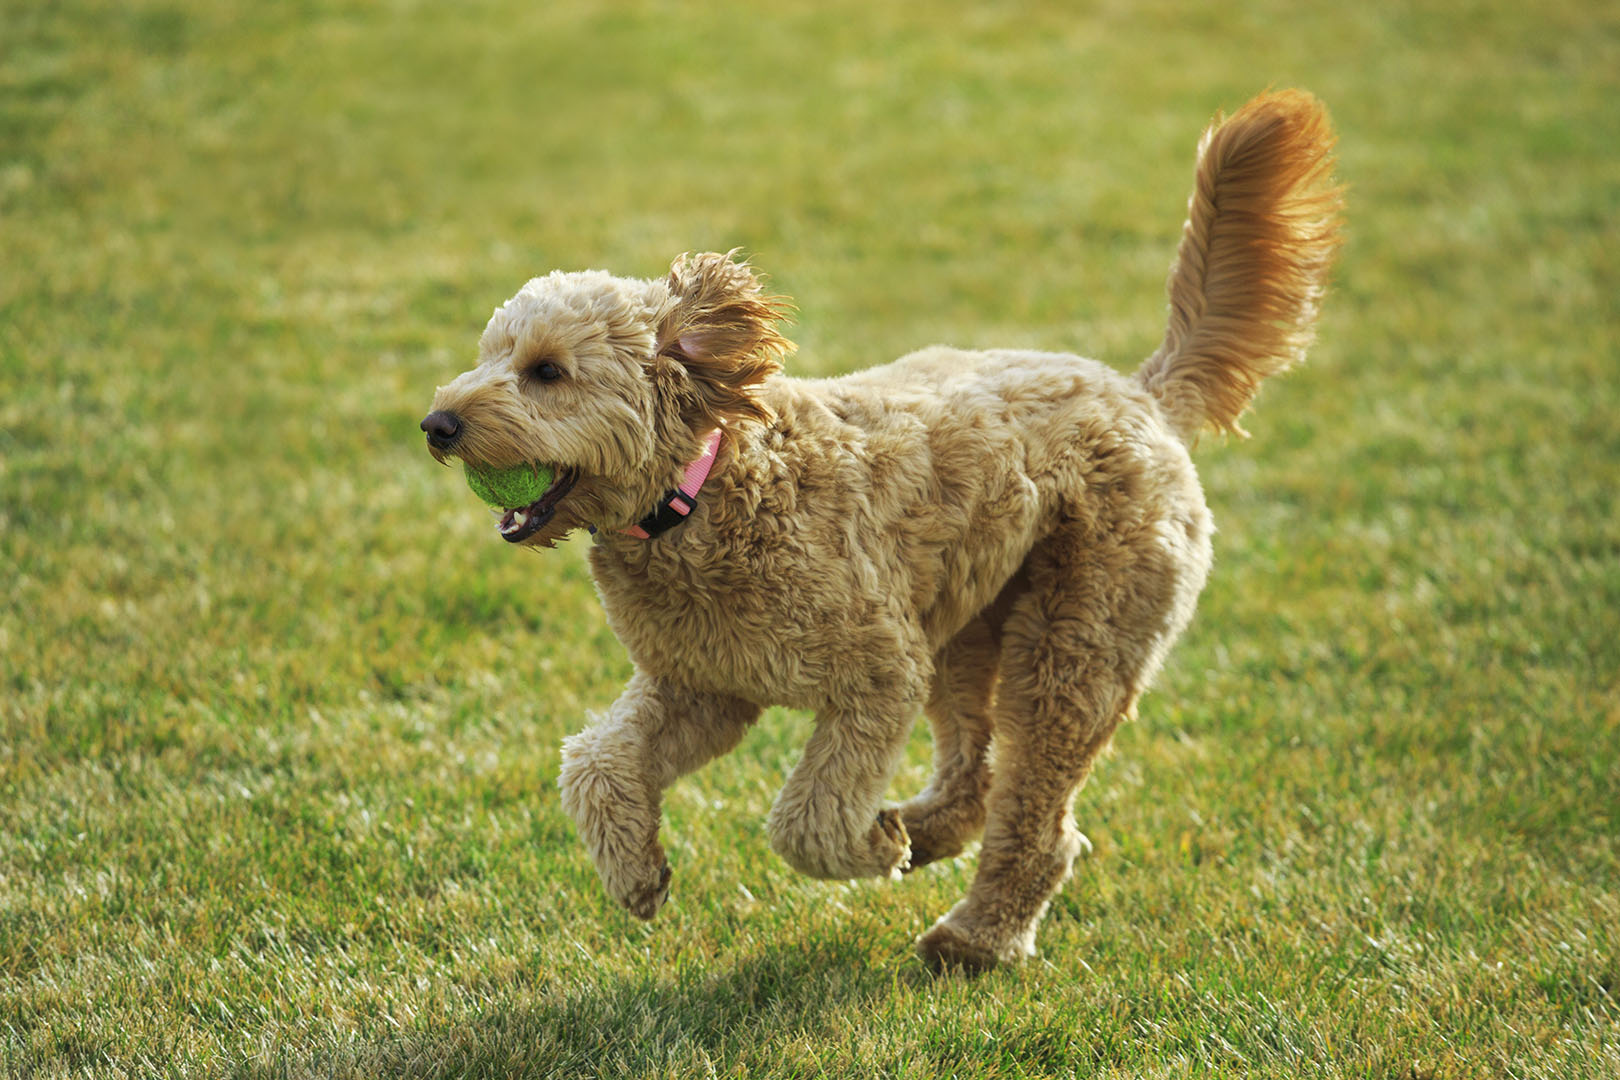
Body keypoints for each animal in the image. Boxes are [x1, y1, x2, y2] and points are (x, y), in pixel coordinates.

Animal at [417, 93, 1341, 971]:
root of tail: (1143, 394)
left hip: (1075, 644)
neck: (705, 490)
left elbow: (807, 819)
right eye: (489, 354)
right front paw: (639, 876)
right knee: (975, 781)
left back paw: (973, 938)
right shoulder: (704, 685)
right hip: (967, 630)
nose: (436, 424)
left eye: (546, 372)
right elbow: (595, 763)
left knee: (1040, 820)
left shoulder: (875, 679)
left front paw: (868, 849)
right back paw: (923, 835)